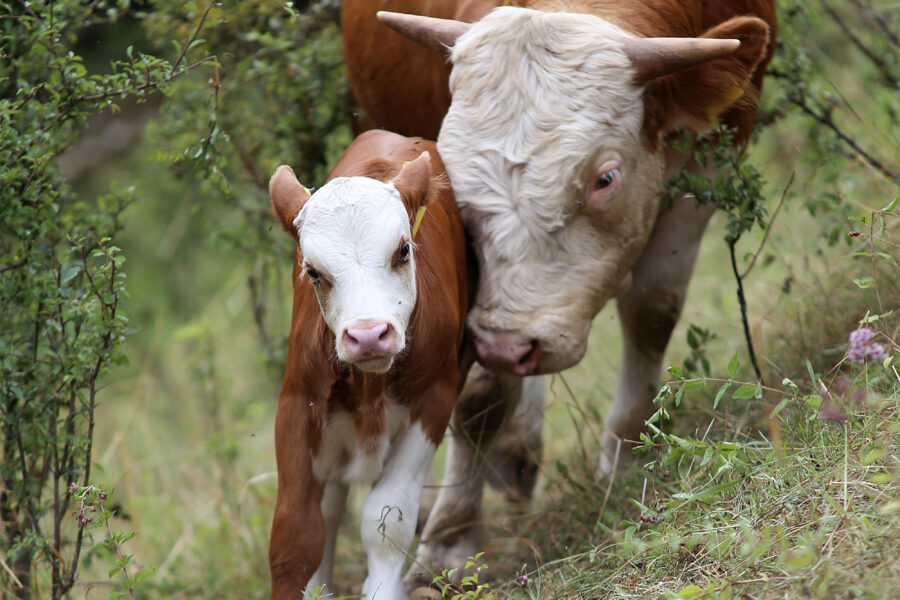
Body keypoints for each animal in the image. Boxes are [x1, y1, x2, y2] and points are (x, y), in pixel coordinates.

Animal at [268, 129, 478, 596]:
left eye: (402, 251)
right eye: (313, 271)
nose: (367, 335)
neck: (369, 385)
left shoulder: (434, 401)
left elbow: (386, 521)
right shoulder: (296, 406)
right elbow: (295, 534)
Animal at [348, 0, 776, 584]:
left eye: (605, 179)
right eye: (455, 186)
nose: (509, 347)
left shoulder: (711, 163)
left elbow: (652, 311)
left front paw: (626, 456)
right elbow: (483, 393)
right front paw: (451, 541)